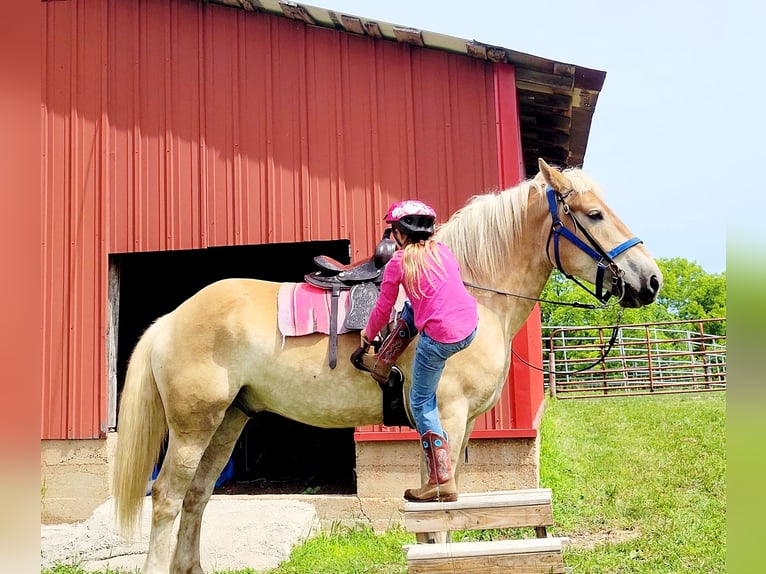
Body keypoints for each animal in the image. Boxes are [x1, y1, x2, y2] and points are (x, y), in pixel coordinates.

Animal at [114, 160, 664, 574]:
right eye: (593, 214)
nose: (651, 280)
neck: (469, 290)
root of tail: (171, 318)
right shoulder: (449, 415)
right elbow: (442, 509)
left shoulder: (440, 423)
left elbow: (432, 503)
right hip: (193, 426)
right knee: (167, 497)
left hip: (229, 420)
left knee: (197, 496)